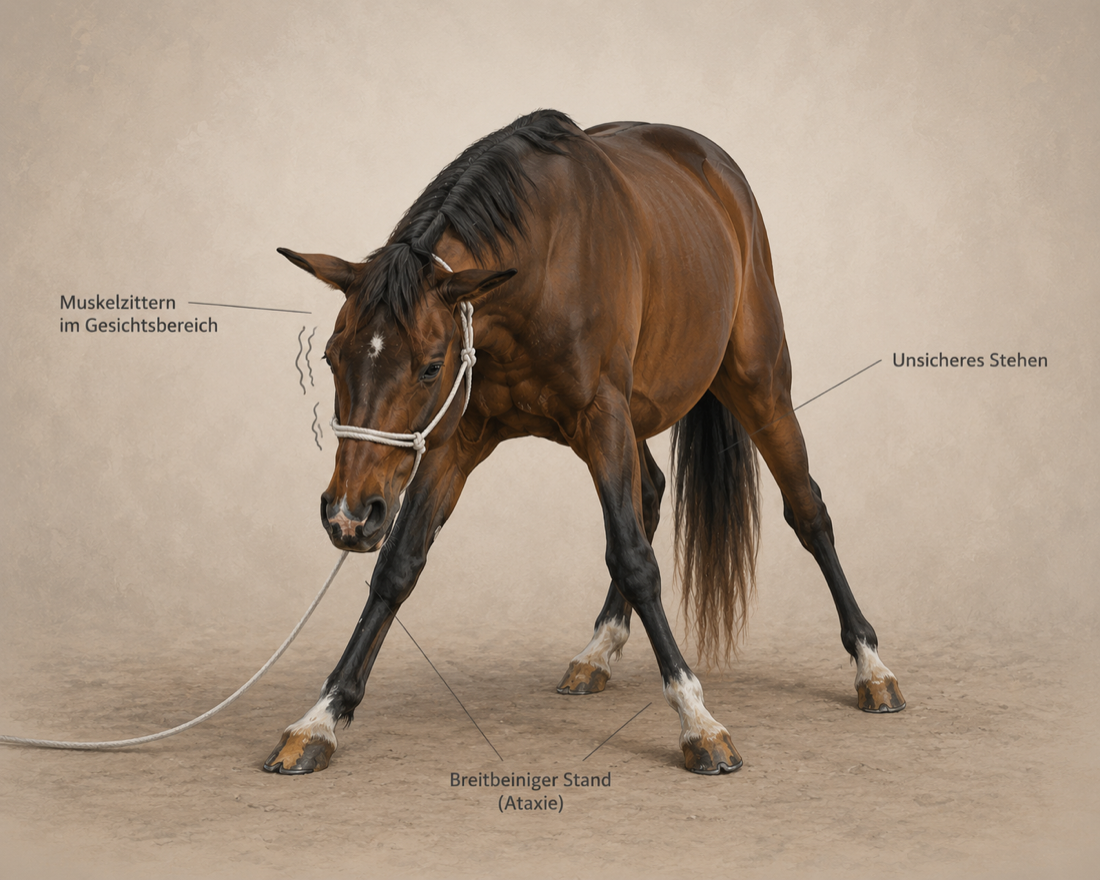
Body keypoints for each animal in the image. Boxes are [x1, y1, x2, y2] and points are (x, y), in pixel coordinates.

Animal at [264, 110, 904, 776]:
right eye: (329, 357)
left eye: (431, 366)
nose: (348, 516)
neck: (540, 267)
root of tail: (714, 166)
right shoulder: (457, 440)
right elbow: (398, 566)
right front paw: (320, 719)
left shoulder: (601, 414)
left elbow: (634, 559)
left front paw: (697, 720)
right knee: (651, 492)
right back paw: (599, 650)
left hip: (758, 385)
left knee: (807, 510)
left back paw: (871, 667)